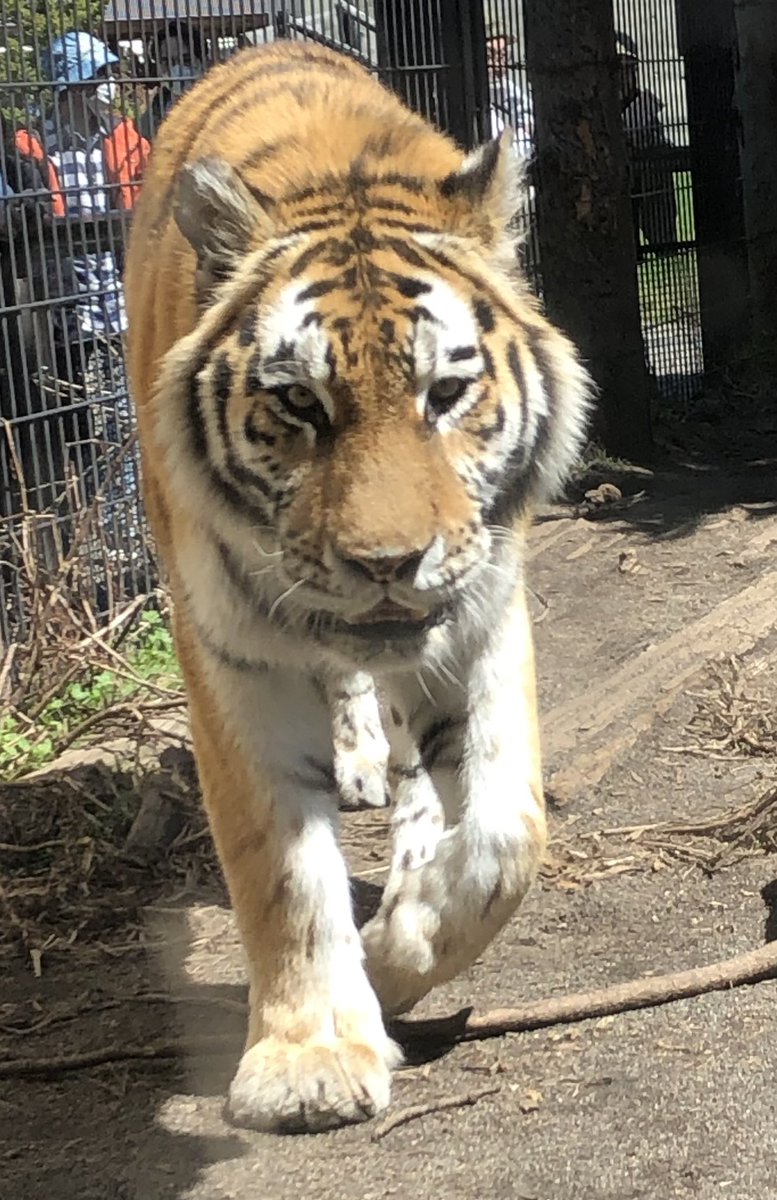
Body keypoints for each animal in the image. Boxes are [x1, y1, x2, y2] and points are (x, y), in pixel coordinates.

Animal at [125, 42, 589, 1132]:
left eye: (446, 394)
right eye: (300, 403)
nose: (386, 565)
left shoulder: (481, 610)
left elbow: (506, 831)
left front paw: (400, 952)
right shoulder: (233, 655)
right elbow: (283, 870)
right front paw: (310, 1061)